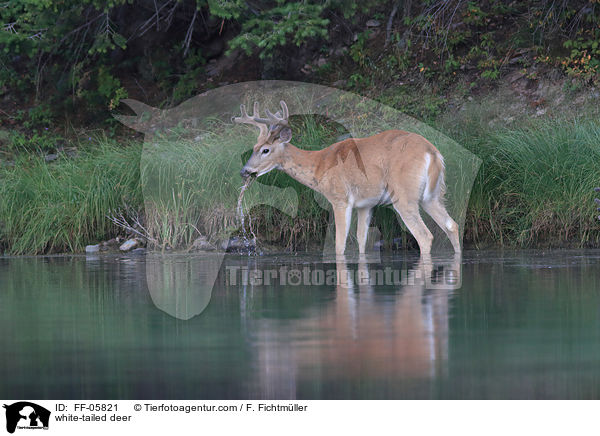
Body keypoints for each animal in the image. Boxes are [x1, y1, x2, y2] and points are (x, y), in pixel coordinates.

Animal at [233, 100, 460, 254]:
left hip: (404, 195)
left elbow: (340, 245)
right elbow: (361, 241)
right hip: (432, 196)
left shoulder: (340, 199)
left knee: (425, 236)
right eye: (254, 147)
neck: (320, 166)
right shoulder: (365, 205)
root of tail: (433, 153)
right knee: (452, 226)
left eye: (265, 150)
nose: (244, 171)